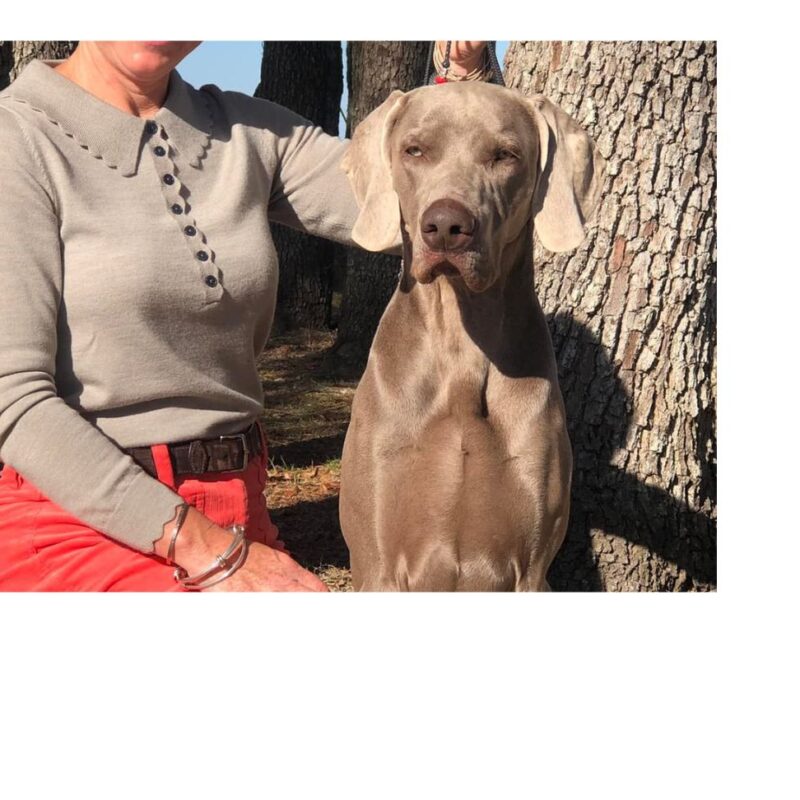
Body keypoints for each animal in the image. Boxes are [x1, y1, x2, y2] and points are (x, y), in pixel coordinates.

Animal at [336, 81, 600, 592]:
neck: (461, 347)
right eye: (414, 150)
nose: (445, 226)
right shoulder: (376, 562)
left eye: (505, 155)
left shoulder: (532, 568)